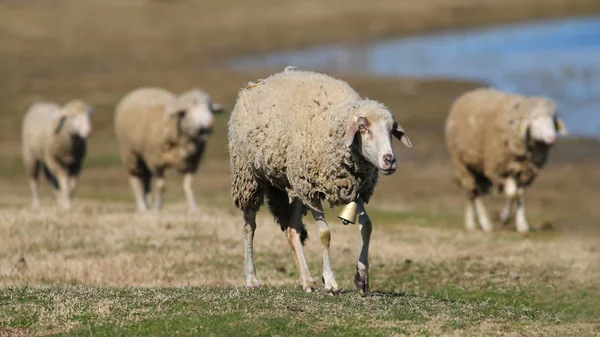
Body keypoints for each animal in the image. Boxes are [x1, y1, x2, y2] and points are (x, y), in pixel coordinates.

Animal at [226, 68, 412, 294]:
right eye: (363, 127)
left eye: (391, 130)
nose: (389, 160)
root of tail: (255, 84)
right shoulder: (313, 190)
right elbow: (325, 234)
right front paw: (330, 282)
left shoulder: (354, 188)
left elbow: (367, 226)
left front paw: (362, 278)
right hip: (249, 177)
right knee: (249, 228)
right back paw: (252, 279)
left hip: (296, 185)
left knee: (292, 230)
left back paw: (307, 281)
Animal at [446, 88, 568, 232]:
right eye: (534, 119)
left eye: (553, 121)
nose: (552, 137)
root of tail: (470, 93)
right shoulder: (500, 168)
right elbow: (511, 193)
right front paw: (504, 217)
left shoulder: (524, 170)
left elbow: (519, 193)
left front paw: (522, 225)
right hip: (462, 163)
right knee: (475, 192)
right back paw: (483, 223)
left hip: (477, 167)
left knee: (473, 193)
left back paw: (474, 223)